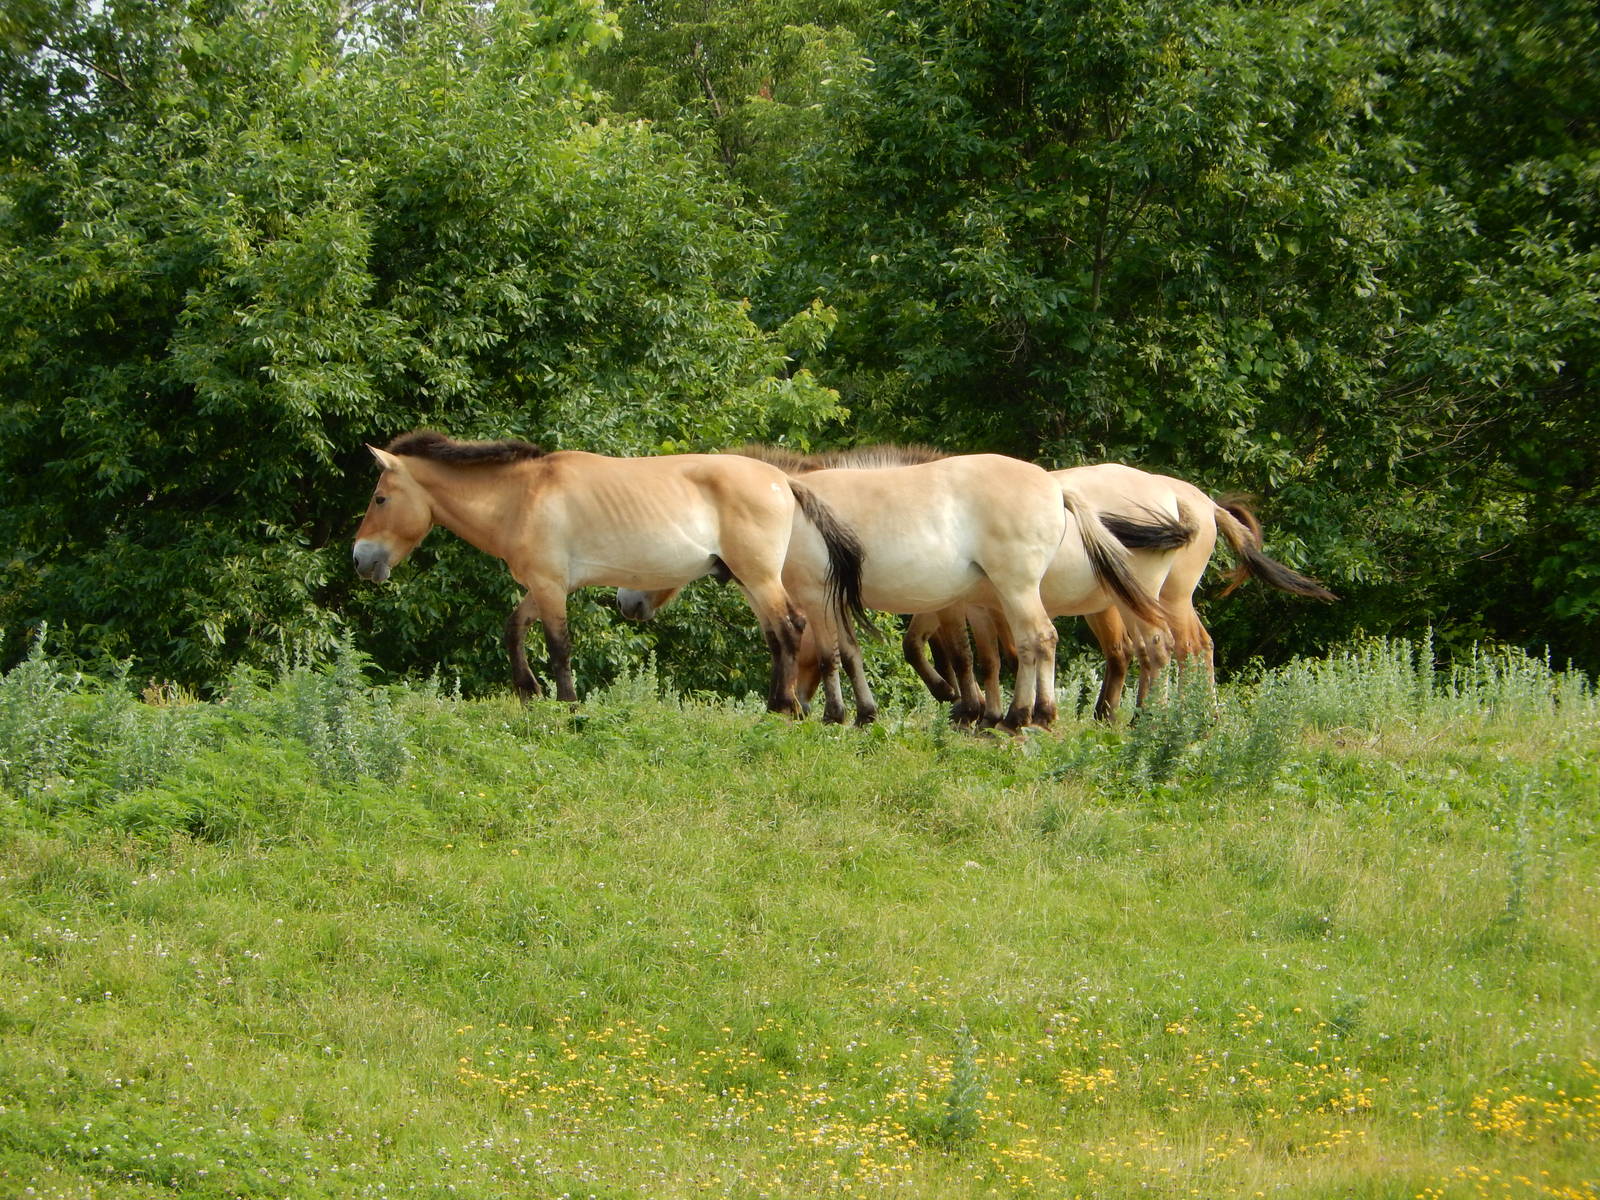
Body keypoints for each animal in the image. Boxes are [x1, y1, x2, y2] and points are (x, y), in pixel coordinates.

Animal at [351, 431, 865, 716]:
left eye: (379, 498)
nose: (359, 558)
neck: (522, 497)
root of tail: (783, 479)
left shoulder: (550, 586)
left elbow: (558, 646)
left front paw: (567, 704)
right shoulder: (543, 585)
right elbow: (514, 629)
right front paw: (528, 691)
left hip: (758, 578)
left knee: (790, 628)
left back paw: (785, 707)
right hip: (751, 581)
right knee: (779, 636)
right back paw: (779, 706)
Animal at [619, 446, 1183, 729]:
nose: (625, 602)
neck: (789, 504)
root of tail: (1056, 487)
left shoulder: (814, 595)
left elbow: (831, 654)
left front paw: (833, 714)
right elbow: (851, 653)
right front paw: (862, 714)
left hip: (1028, 590)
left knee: (1043, 642)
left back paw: (1032, 717)